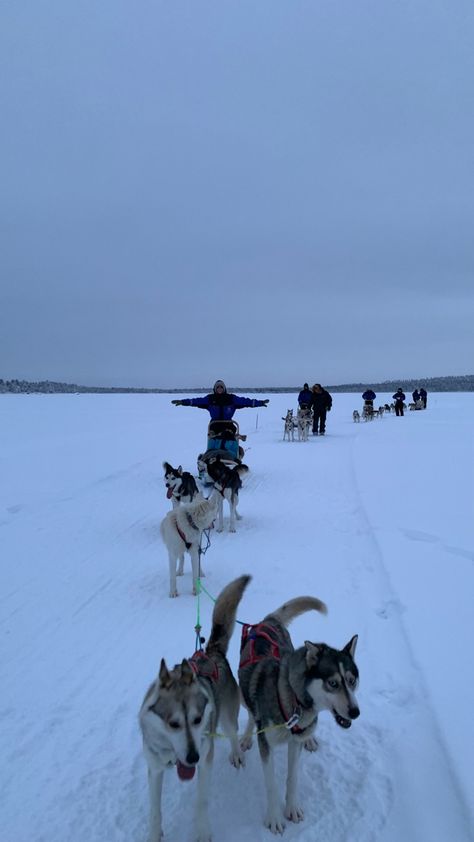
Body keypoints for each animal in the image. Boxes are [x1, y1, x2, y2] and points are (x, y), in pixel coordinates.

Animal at [140, 576, 252, 840]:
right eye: (173, 724)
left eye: (198, 719)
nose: (193, 757)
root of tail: (212, 652)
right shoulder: (155, 769)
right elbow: (154, 810)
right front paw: (154, 834)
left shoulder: (205, 760)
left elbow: (201, 801)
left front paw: (202, 831)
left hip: (227, 718)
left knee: (233, 734)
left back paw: (236, 754)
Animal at [239, 592, 358, 832]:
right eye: (332, 683)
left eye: (352, 681)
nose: (355, 711)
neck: (293, 702)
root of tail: (269, 620)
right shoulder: (266, 744)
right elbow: (271, 784)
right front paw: (274, 818)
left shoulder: (295, 742)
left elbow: (292, 778)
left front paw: (292, 808)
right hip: (244, 693)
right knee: (250, 713)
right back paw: (247, 736)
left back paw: (310, 739)